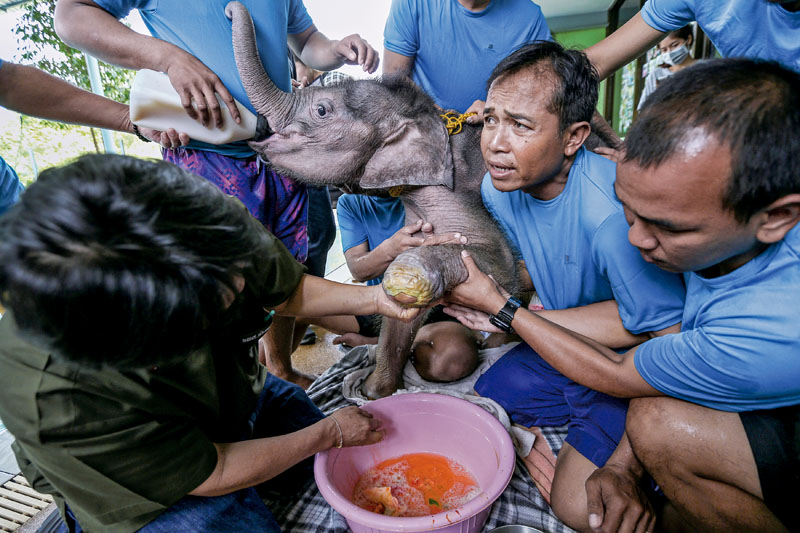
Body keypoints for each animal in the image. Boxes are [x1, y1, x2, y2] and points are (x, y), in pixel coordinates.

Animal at [227, 3, 520, 394]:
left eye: (322, 110)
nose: (231, 11)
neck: (427, 116)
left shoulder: (462, 192)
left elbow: (496, 264)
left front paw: (407, 273)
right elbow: (399, 320)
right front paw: (375, 391)